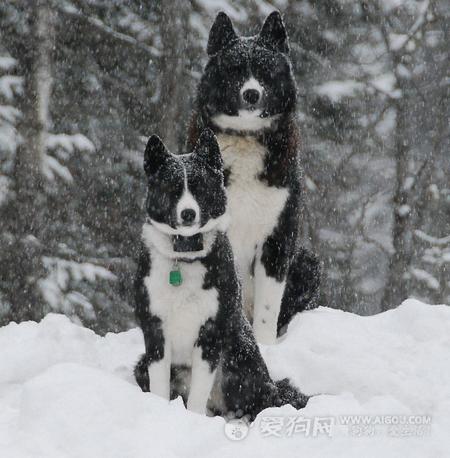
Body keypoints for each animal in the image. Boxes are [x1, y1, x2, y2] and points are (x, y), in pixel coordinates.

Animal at [134, 129, 310, 418]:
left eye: (199, 188)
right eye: (172, 189)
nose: (188, 213)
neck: (185, 258)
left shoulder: (211, 332)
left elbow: (198, 394)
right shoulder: (155, 329)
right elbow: (159, 384)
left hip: (241, 361)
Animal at [188, 9, 322, 344]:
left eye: (265, 71)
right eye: (235, 70)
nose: (251, 93)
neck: (245, 139)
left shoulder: (278, 236)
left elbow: (268, 307)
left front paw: (265, 345)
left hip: (308, 263)